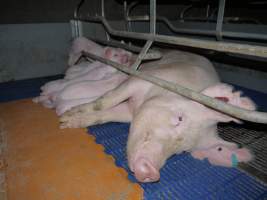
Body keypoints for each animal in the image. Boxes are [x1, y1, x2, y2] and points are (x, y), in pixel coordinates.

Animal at [59, 50, 256, 183]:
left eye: (183, 151)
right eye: (179, 118)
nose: (151, 173)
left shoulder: (129, 112)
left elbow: (106, 115)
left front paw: (67, 121)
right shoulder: (140, 80)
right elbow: (104, 102)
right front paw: (64, 119)